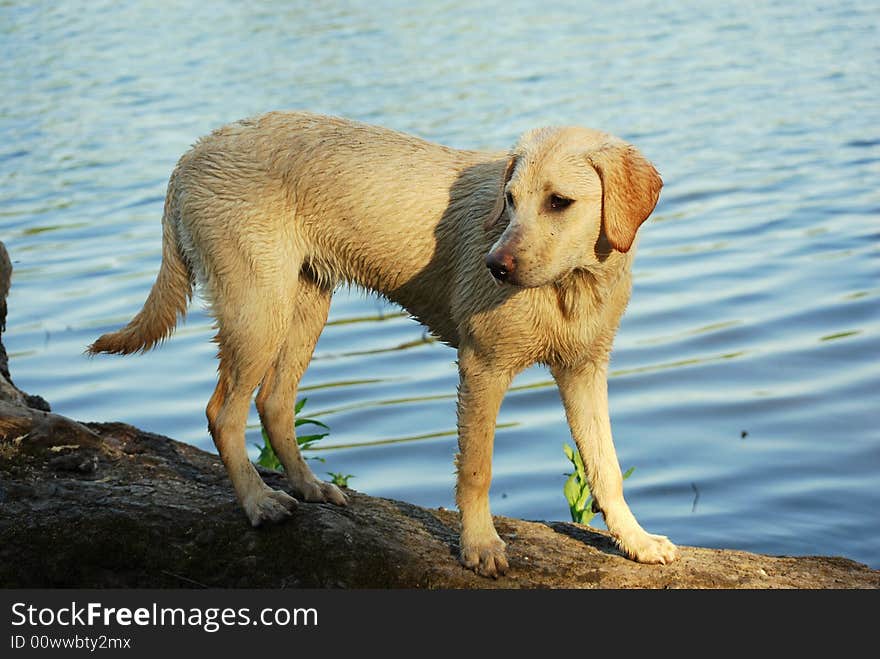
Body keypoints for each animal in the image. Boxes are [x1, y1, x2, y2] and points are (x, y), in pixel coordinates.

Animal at [89, 113, 676, 576]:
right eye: (509, 201)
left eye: (560, 202)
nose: (495, 265)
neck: (572, 285)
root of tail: (192, 154)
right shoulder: (482, 367)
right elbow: (477, 469)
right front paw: (480, 546)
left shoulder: (584, 371)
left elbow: (606, 466)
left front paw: (636, 540)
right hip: (257, 311)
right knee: (223, 412)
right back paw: (259, 503)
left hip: (305, 306)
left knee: (273, 403)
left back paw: (309, 487)